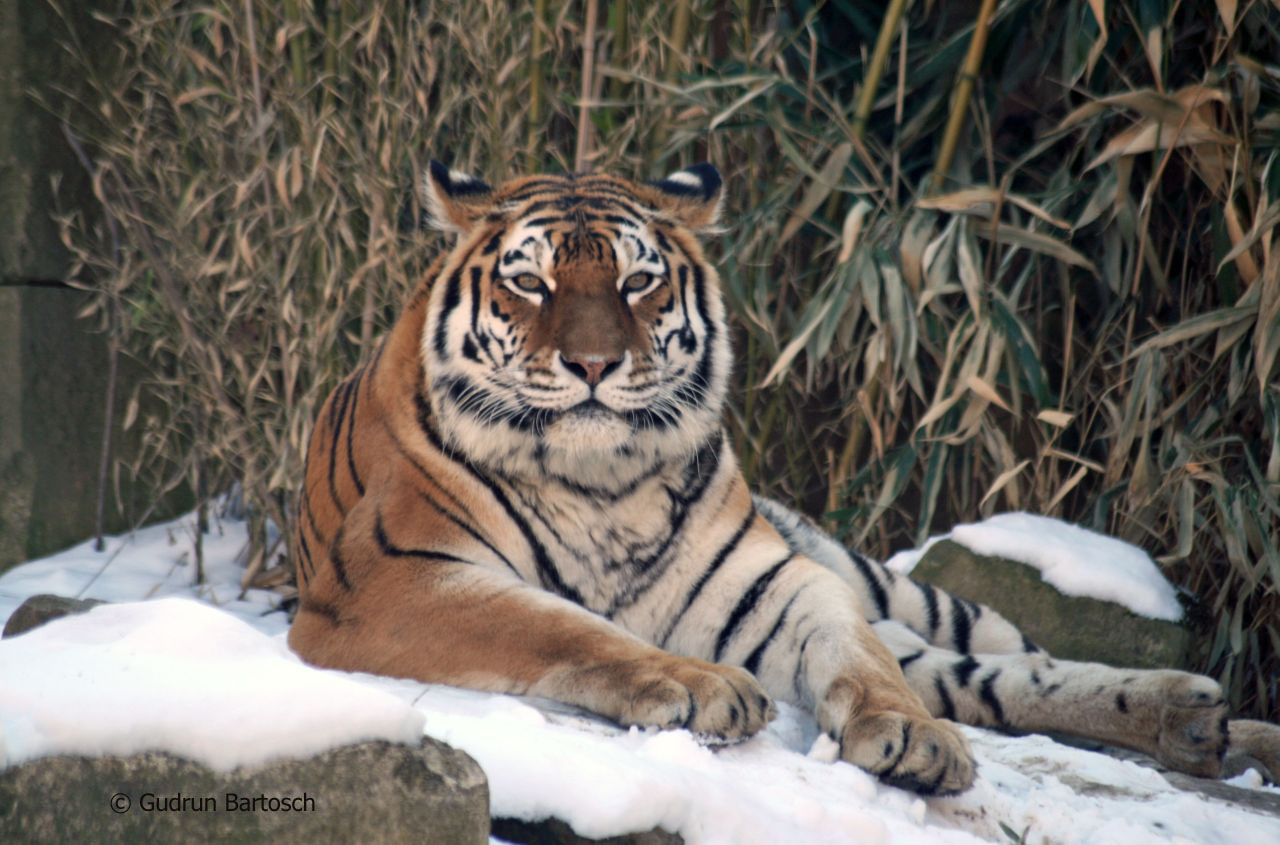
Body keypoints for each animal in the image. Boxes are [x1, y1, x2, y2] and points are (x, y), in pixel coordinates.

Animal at [290, 161, 1280, 793]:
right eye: (530, 283)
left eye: (638, 282)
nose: (594, 364)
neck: (600, 479)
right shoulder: (392, 578)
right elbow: (558, 624)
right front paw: (700, 683)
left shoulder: (777, 577)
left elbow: (862, 657)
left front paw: (915, 737)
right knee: (981, 678)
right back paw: (1204, 725)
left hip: (884, 582)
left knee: (997, 658)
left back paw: (1205, 718)